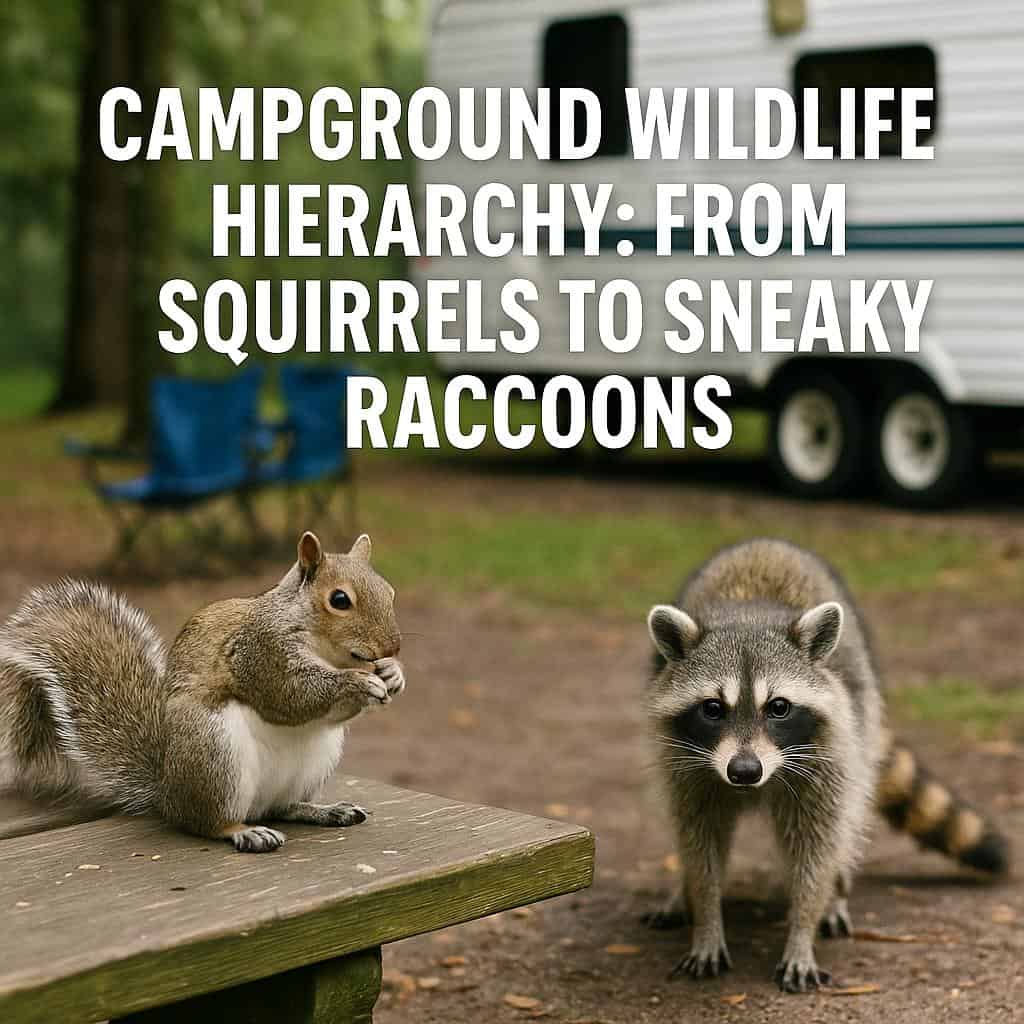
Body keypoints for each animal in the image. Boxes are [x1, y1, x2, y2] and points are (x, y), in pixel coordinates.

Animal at [0, 531, 405, 853]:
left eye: (390, 591)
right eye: (339, 600)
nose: (393, 647)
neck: (325, 651)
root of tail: (167, 792)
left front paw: (393, 675)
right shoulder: (258, 653)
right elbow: (289, 695)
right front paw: (358, 682)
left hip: (314, 761)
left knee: (282, 807)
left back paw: (324, 810)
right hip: (214, 752)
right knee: (206, 823)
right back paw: (245, 831)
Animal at [645, 539, 1008, 993]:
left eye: (778, 707)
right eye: (712, 709)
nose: (744, 771)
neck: (748, 618)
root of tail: (767, 541)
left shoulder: (827, 760)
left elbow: (816, 847)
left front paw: (803, 927)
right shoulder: (687, 765)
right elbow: (699, 841)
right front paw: (706, 917)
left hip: (860, 722)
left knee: (846, 821)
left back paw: (836, 893)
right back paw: (682, 896)